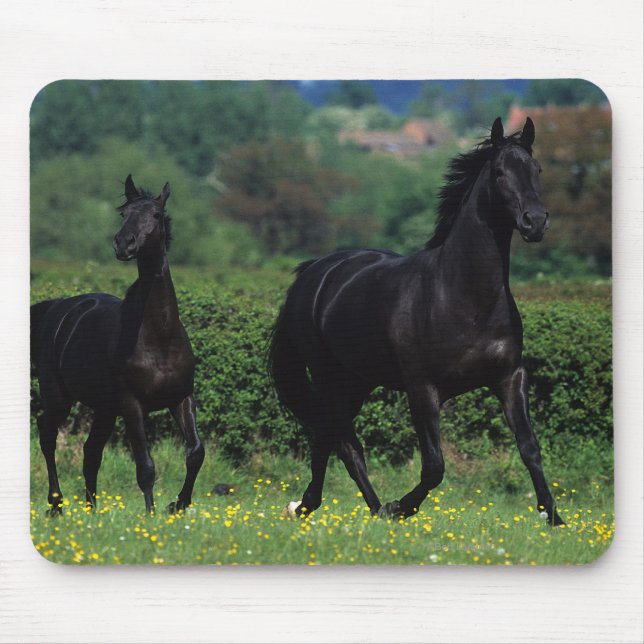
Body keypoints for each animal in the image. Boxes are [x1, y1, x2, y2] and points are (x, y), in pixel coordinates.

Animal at [31, 175, 204, 514]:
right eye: (123, 214)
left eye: (156, 215)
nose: (124, 244)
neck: (159, 338)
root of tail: (59, 309)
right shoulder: (132, 404)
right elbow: (145, 466)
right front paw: (151, 515)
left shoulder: (181, 398)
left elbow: (195, 453)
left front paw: (177, 505)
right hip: (59, 397)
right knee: (47, 435)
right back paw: (56, 505)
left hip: (104, 408)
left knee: (90, 452)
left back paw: (91, 510)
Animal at [269, 116, 564, 526]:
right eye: (500, 172)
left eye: (537, 169)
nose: (534, 222)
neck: (465, 297)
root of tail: (313, 272)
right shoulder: (422, 388)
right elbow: (434, 467)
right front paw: (401, 507)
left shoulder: (509, 378)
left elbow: (529, 448)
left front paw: (555, 518)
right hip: (331, 378)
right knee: (340, 441)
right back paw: (341, 507)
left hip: (357, 381)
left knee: (333, 440)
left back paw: (347, 507)